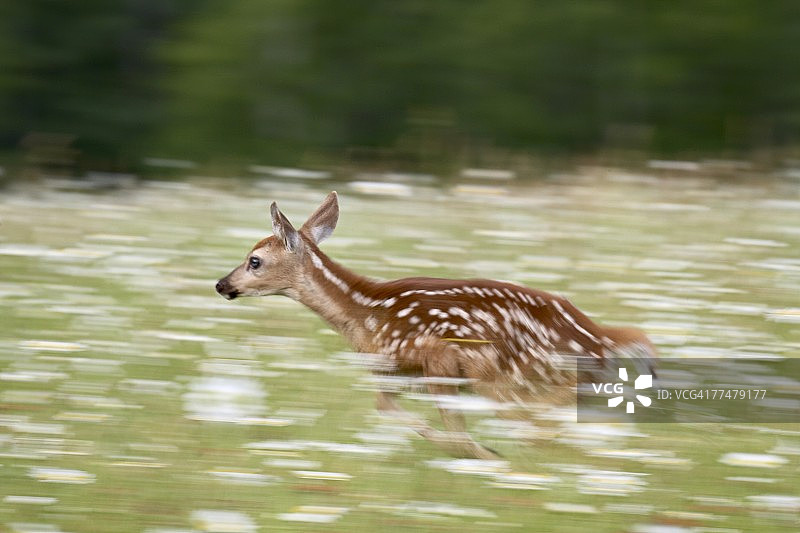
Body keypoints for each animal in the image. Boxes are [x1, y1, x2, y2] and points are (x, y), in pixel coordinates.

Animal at [215, 191, 657, 459]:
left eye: (254, 261)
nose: (222, 284)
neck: (364, 312)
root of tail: (603, 338)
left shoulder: (439, 360)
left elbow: (454, 430)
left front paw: (486, 456)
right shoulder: (395, 373)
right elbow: (386, 408)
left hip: (515, 377)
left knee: (544, 421)